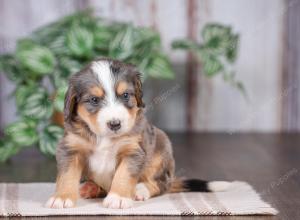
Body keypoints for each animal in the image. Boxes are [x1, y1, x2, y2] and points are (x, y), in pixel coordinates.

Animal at [45, 58, 231, 210]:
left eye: (126, 95)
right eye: (94, 100)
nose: (115, 124)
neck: (105, 137)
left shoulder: (133, 150)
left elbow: (123, 174)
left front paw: (118, 198)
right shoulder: (70, 148)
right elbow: (67, 175)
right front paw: (62, 197)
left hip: (161, 149)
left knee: (161, 184)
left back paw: (140, 189)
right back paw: (89, 188)